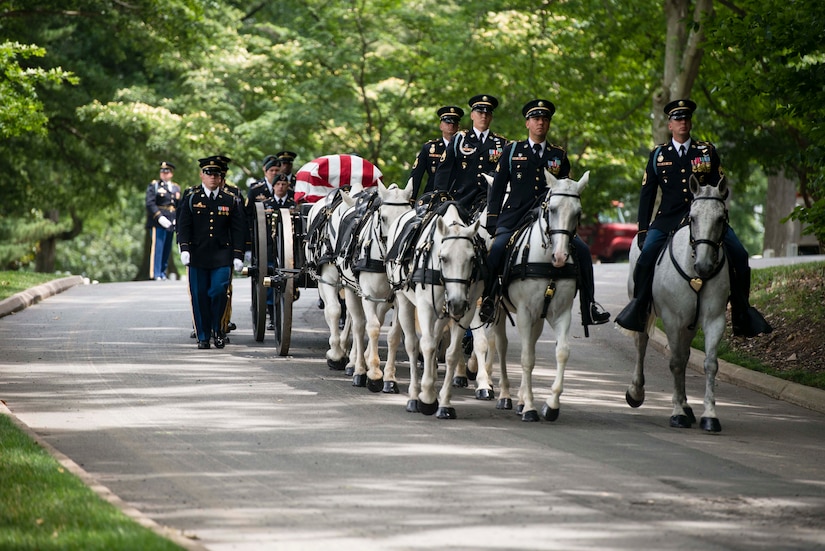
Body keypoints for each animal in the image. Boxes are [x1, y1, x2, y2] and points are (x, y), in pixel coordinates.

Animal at [388, 202, 490, 418]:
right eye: (443, 258)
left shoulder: (467, 311)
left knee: (436, 340)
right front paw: (426, 397)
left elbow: (451, 353)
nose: (457, 303)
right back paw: (414, 396)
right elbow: (426, 346)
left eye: (472, 258)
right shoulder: (426, 306)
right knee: (412, 344)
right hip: (404, 300)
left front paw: (444, 403)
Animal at [486, 172, 588, 422]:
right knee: (501, 345)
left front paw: (550, 405)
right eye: (552, 209)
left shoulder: (561, 312)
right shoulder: (524, 312)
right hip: (499, 309)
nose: (560, 257)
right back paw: (505, 396)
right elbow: (526, 358)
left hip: (539, 317)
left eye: (578, 213)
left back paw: (521, 399)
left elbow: (562, 352)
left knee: (530, 342)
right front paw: (531, 408)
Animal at [624, 175, 728, 434]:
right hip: (644, 310)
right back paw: (636, 392)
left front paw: (709, 415)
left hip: (690, 325)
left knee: (686, 351)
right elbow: (676, 363)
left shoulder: (714, 320)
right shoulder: (672, 320)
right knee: (642, 343)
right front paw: (678, 412)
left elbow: (710, 364)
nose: (704, 266)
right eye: (692, 217)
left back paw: (688, 406)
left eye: (721, 218)